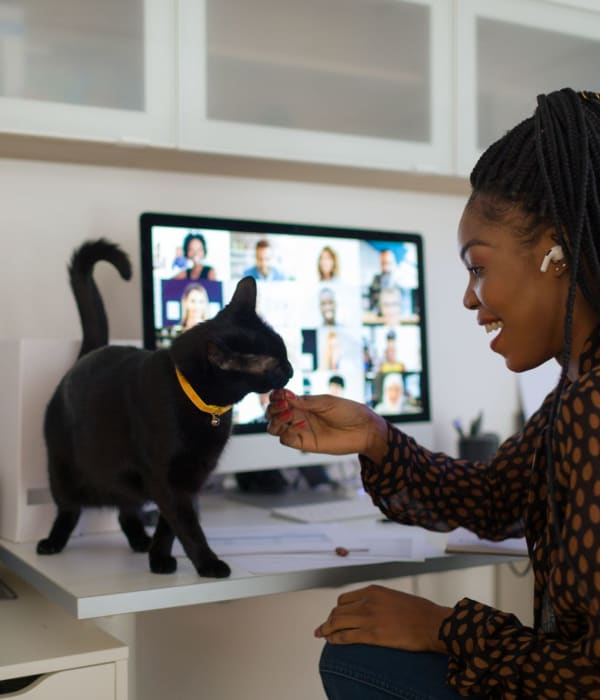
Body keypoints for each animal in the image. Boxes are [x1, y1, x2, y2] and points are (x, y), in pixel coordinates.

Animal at [36, 238, 294, 576]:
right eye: (275, 364)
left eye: (285, 352)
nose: (291, 370)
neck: (206, 409)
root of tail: (85, 356)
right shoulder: (166, 478)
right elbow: (187, 526)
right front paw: (209, 564)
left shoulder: (191, 476)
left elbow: (170, 525)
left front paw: (158, 558)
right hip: (63, 470)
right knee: (69, 509)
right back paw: (53, 542)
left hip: (123, 482)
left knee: (126, 511)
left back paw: (139, 541)